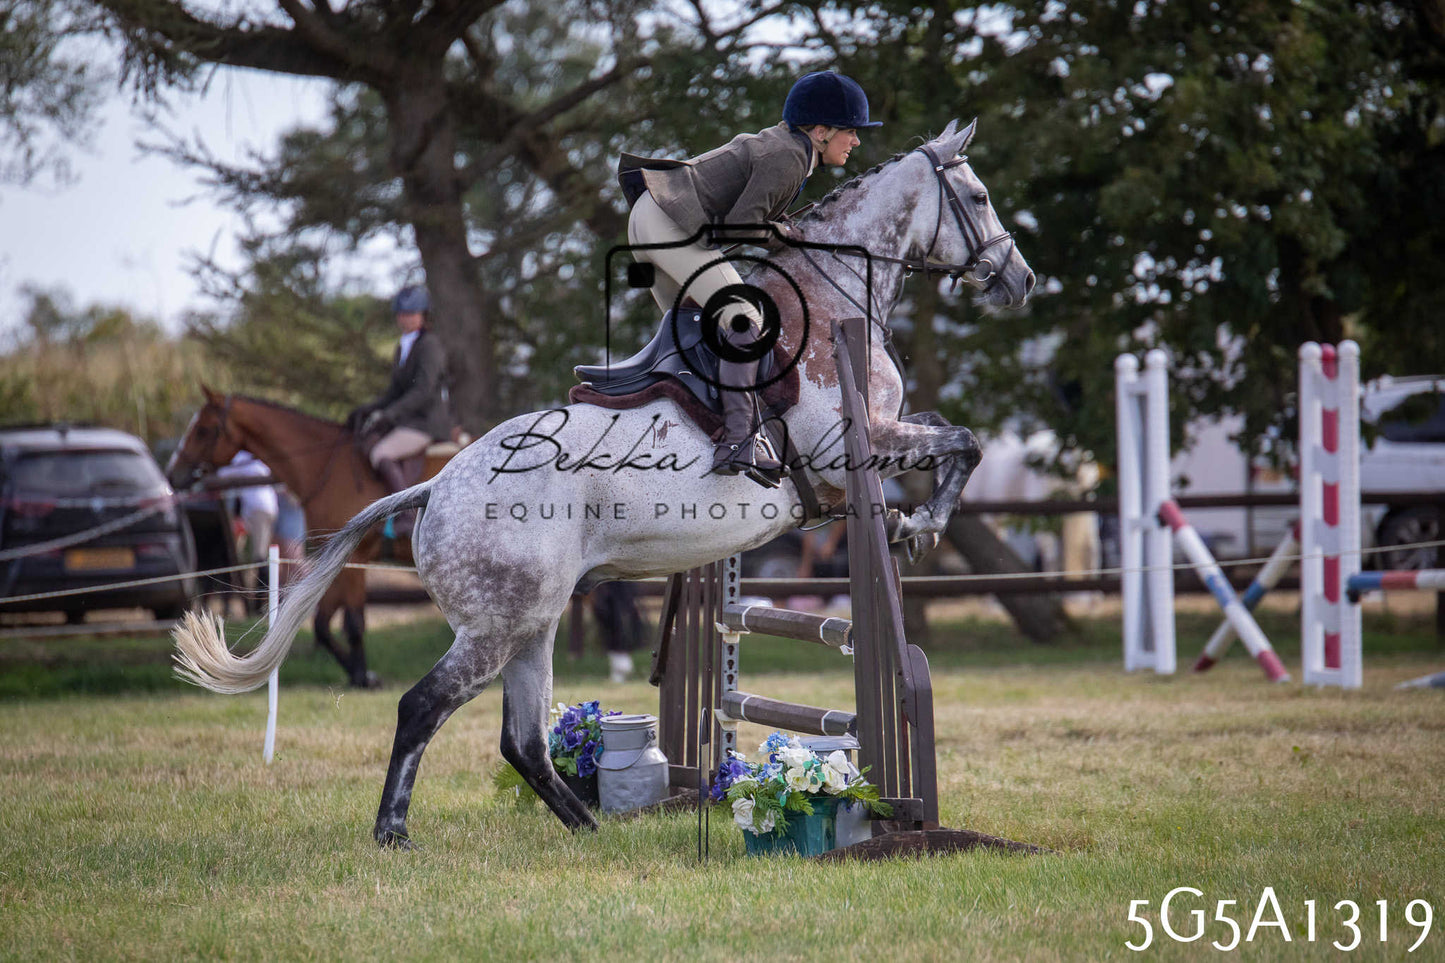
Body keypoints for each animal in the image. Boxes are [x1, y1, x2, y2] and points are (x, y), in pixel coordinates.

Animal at [165, 391, 455, 687]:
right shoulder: (340, 560)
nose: (172, 474)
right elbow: (321, 625)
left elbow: (353, 623)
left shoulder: (356, 558)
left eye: (203, 430)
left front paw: (364, 677)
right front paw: (357, 673)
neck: (326, 467)